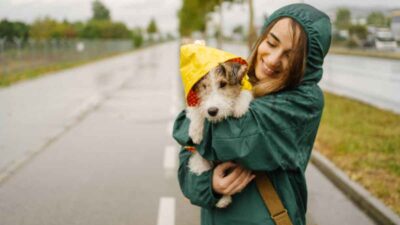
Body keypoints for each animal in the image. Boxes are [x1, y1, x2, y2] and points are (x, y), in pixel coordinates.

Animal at [185, 60, 253, 207]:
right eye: (204, 86)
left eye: (223, 84)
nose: (212, 111)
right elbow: (197, 109)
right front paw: (196, 131)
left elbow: (245, 93)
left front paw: (239, 106)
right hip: (200, 163)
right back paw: (223, 200)